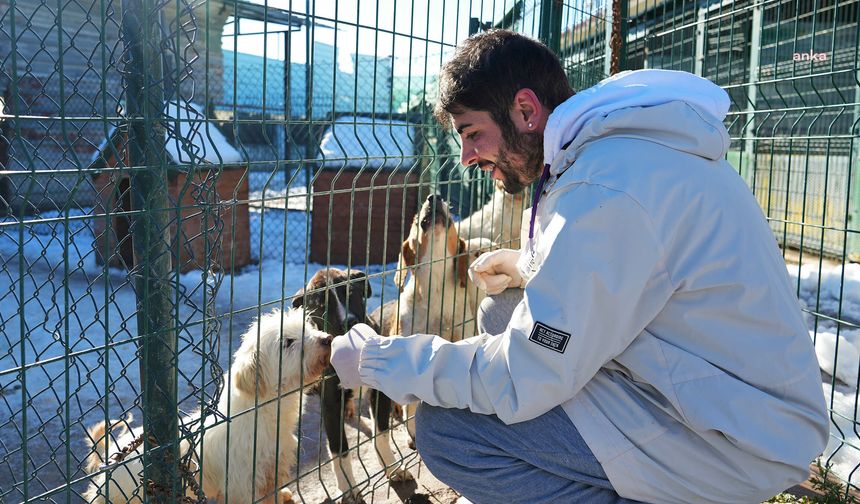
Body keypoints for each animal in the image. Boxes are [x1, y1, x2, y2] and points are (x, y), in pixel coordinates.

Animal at [83, 310, 332, 502]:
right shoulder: (242, 485)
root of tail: (111, 453)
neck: (260, 413)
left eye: (307, 328)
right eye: (288, 342)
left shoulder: (271, 471)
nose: (327, 338)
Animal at [292, 270, 410, 502]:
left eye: (351, 293)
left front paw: (392, 468)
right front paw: (348, 488)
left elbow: (382, 434)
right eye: (321, 304)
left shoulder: (379, 393)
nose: (349, 322)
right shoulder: (330, 404)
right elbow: (340, 450)